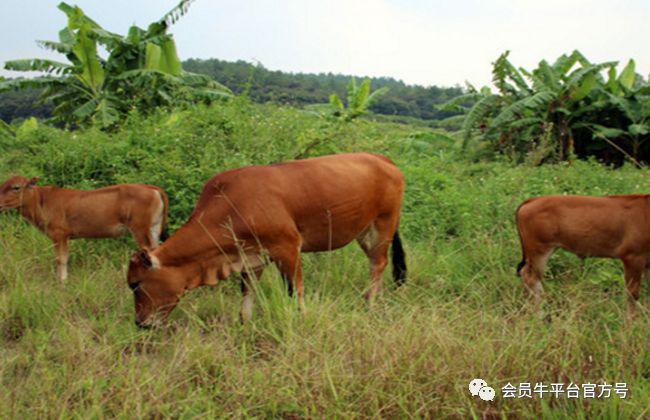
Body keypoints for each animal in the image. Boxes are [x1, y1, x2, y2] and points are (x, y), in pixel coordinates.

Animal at [0, 176, 167, 280]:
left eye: (16, 187)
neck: (41, 201)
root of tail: (152, 188)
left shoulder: (59, 234)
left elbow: (61, 259)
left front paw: (62, 280)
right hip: (153, 229)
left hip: (140, 230)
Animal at [126, 153, 404, 326]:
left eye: (136, 284)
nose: (140, 323)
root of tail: (383, 159)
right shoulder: (250, 256)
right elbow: (248, 291)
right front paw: (244, 322)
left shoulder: (288, 247)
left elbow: (295, 290)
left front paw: (301, 318)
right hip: (365, 231)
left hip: (383, 225)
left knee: (378, 263)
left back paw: (370, 302)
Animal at [516, 194, 648, 316]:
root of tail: (532, 200)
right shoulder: (633, 256)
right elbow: (632, 294)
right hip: (539, 250)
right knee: (531, 278)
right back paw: (539, 314)